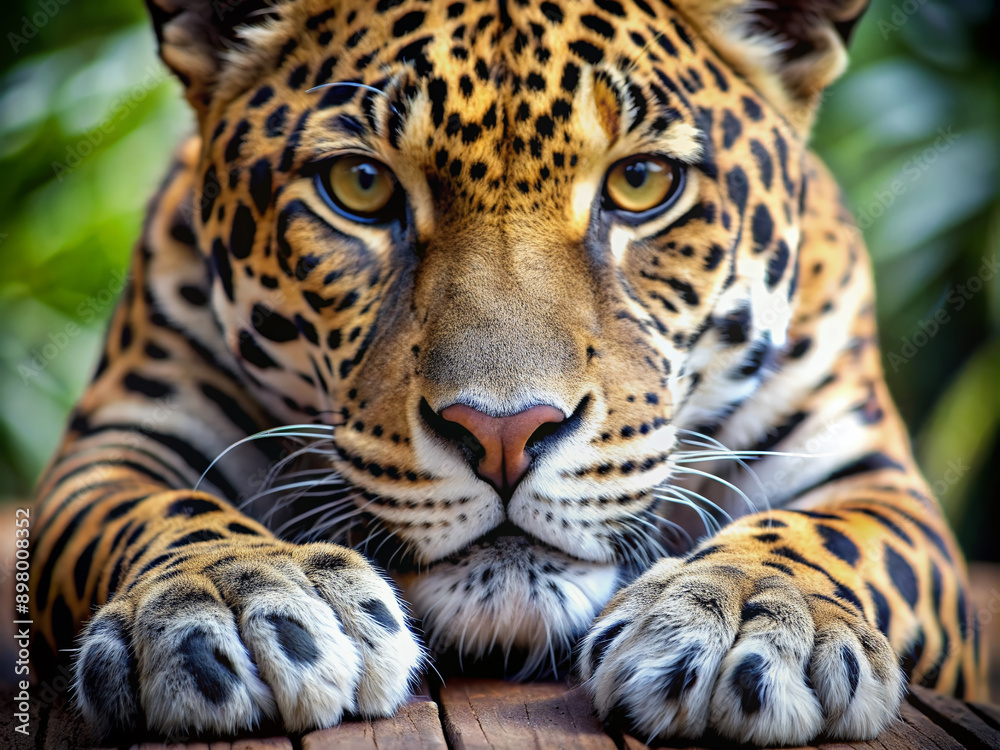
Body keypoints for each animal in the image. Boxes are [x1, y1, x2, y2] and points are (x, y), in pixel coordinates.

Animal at [30, 0, 986, 745]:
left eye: (642, 182)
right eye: (360, 185)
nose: (503, 434)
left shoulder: (875, 474)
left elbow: (836, 538)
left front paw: (750, 619)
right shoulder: (115, 440)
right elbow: (156, 512)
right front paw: (231, 600)